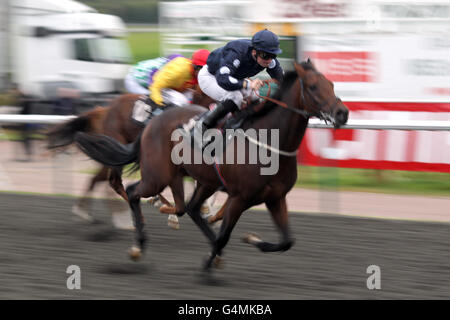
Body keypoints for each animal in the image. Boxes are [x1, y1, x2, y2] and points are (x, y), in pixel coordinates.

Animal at [74, 59, 350, 268]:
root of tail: (153, 122)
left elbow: (286, 241)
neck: (269, 141)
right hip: (157, 176)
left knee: (190, 208)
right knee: (132, 191)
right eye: (313, 87)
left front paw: (250, 239)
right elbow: (224, 235)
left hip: (201, 180)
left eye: (331, 84)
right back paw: (137, 243)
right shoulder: (239, 197)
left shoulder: (275, 197)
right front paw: (208, 264)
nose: (342, 113)